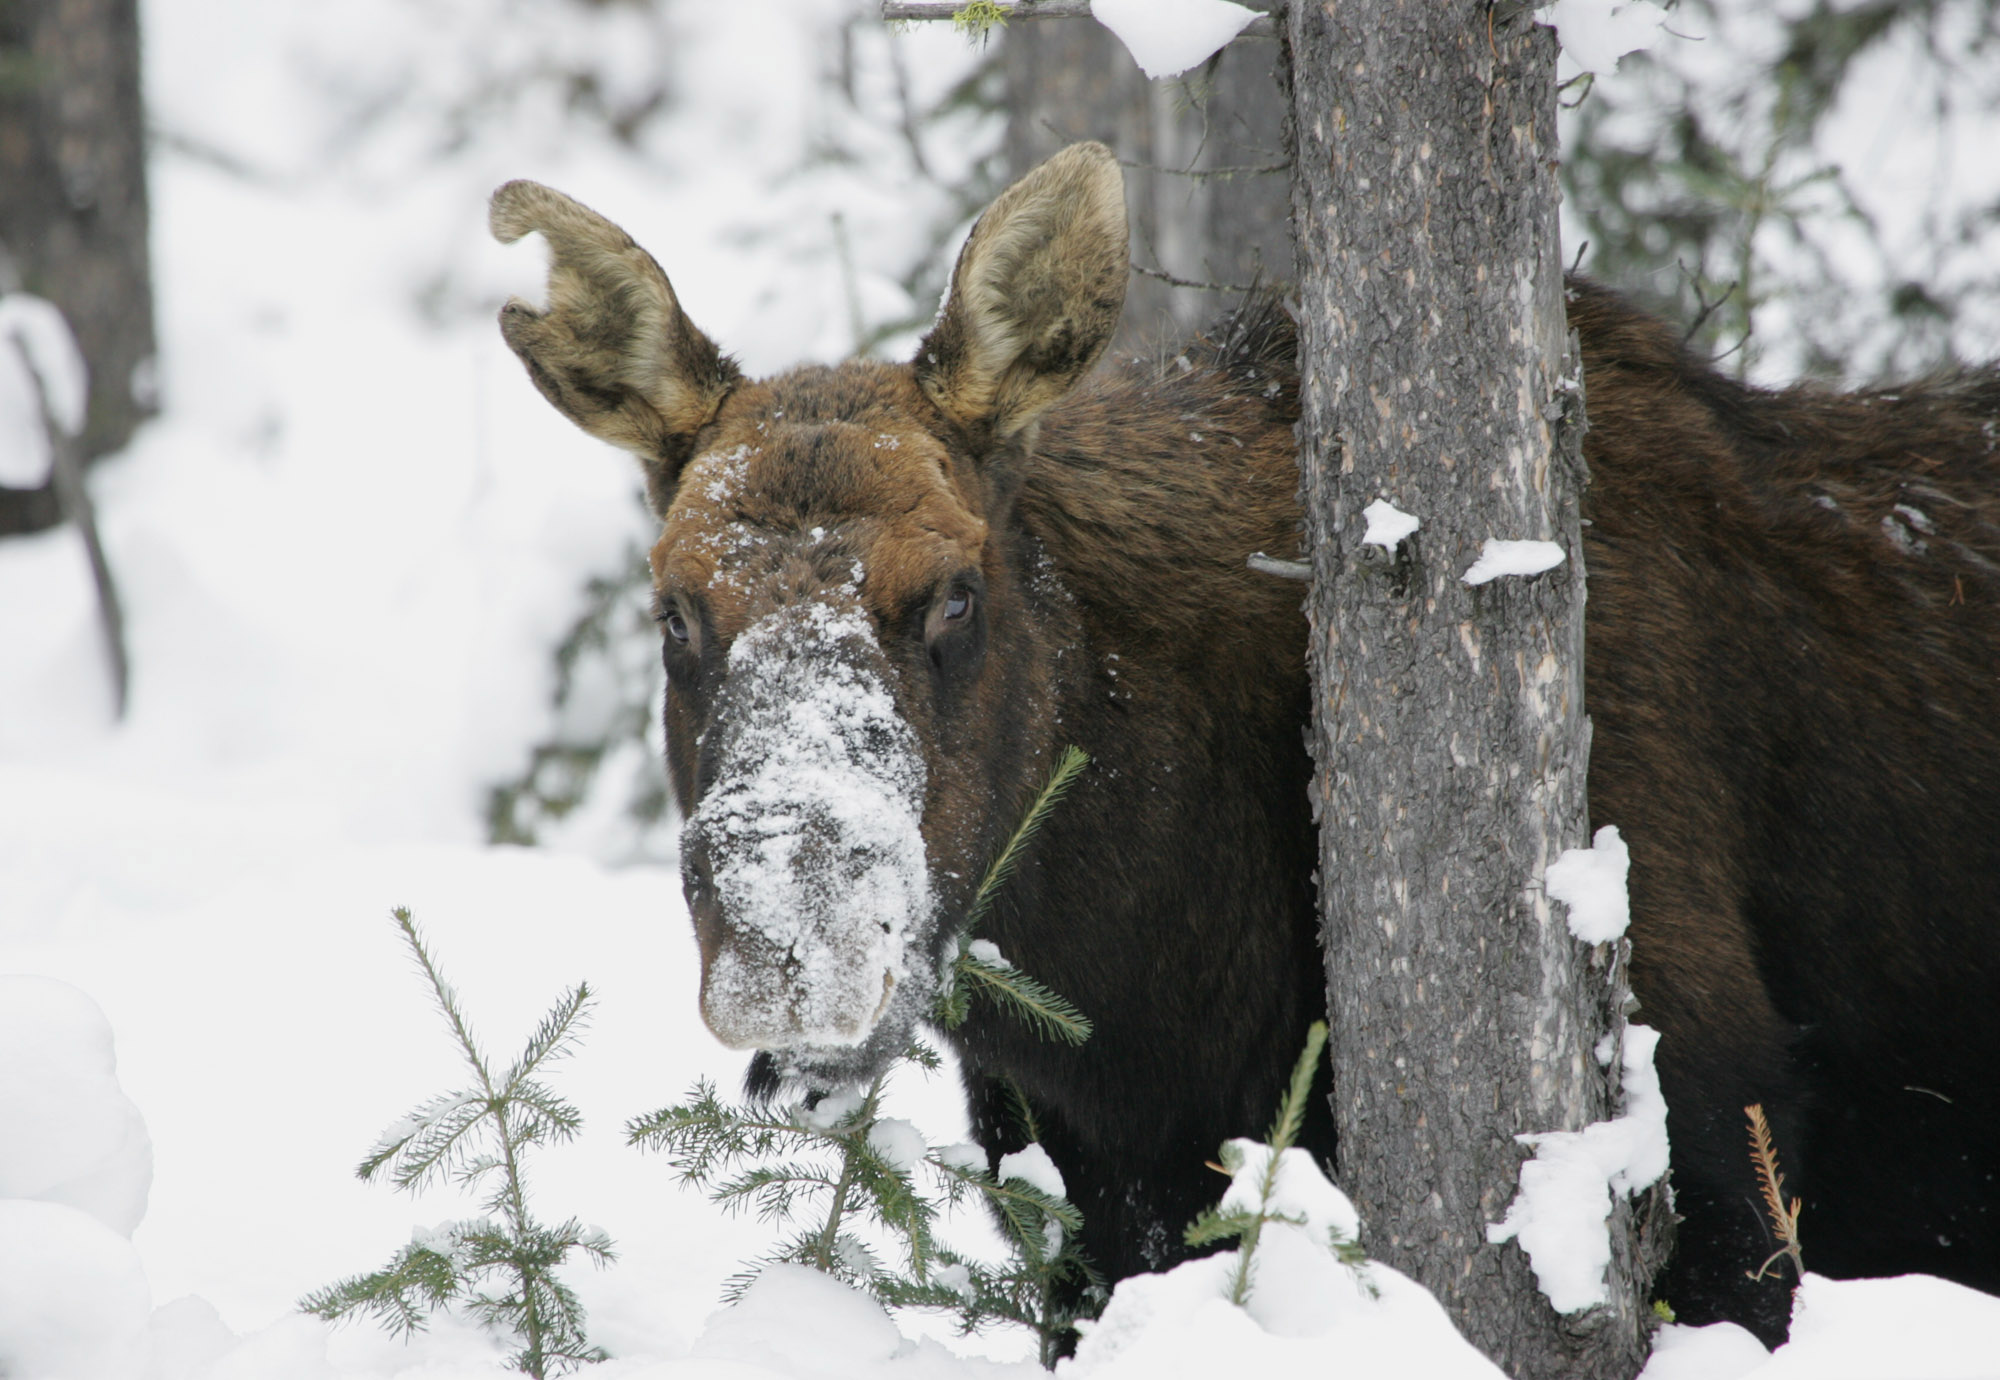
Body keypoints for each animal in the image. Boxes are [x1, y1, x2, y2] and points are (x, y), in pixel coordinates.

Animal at [489, 142, 2000, 1345]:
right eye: (673, 609)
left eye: (956, 593)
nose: (790, 947)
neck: (1154, 997)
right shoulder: (1098, 1195)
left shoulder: (1727, 1148)